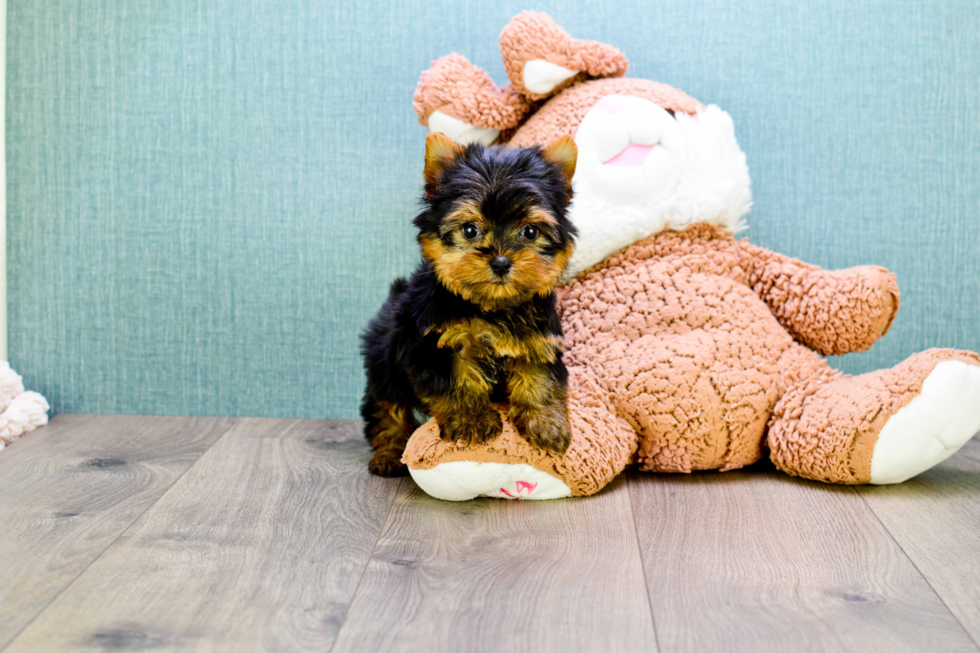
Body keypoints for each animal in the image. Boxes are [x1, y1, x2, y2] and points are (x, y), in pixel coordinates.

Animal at [358, 132, 576, 476]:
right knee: (387, 408)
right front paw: (472, 420)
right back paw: (389, 454)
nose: (500, 261)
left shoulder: (538, 341)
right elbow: (456, 383)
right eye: (470, 230)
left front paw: (546, 424)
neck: (492, 307)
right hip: (383, 359)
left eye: (530, 231)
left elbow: (541, 379)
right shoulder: (433, 345)